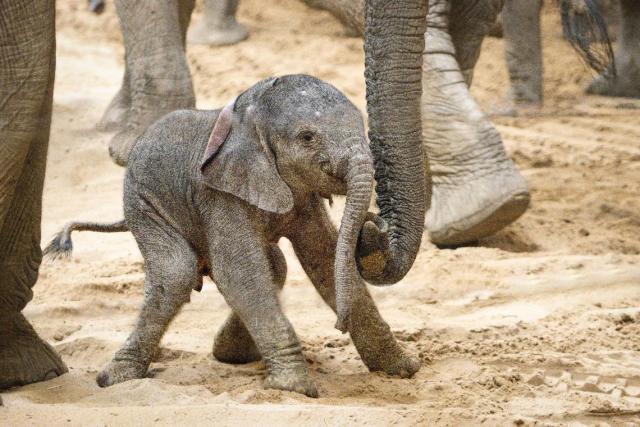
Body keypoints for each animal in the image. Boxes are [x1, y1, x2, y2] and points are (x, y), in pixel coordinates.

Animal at [47, 74, 422, 398]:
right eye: (307, 137)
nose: (375, 224)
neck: (248, 114)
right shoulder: (219, 193)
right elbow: (239, 273)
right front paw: (295, 388)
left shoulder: (303, 199)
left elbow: (323, 260)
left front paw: (402, 370)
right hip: (143, 204)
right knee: (176, 273)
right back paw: (115, 378)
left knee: (274, 267)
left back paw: (230, 355)